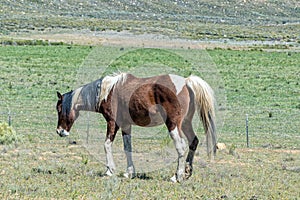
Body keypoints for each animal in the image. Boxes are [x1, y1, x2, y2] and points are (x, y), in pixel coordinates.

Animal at [55, 72, 216, 182]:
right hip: (186, 123)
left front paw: (109, 170)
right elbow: (128, 147)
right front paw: (129, 172)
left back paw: (176, 176)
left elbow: (106, 145)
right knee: (193, 142)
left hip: (173, 125)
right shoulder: (126, 125)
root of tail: (187, 82)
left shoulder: (113, 123)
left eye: (59, 109)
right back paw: (187, 172)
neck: (108, 92)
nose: (60, 131)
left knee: (181, 147)